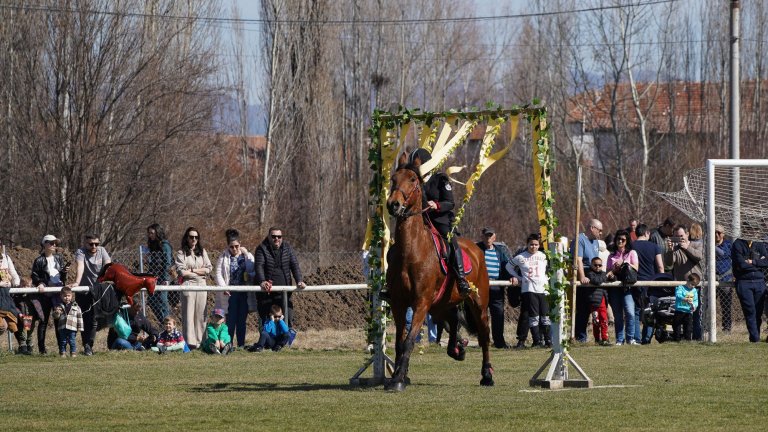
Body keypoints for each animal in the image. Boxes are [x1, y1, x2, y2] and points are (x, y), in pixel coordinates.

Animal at [384, 151, 492, 392]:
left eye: (412, 180)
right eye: (393, 179)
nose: (393, 205)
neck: (411, 251)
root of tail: (476, 249)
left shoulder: (421, 303)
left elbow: (408, 341)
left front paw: (398, 379)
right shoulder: (398, 303)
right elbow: (399, 343)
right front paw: (398, 376)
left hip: (478, 303)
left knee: (484, 336)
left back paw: (487, 375)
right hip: (441, 304)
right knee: (452, 320)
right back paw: (457, 350)